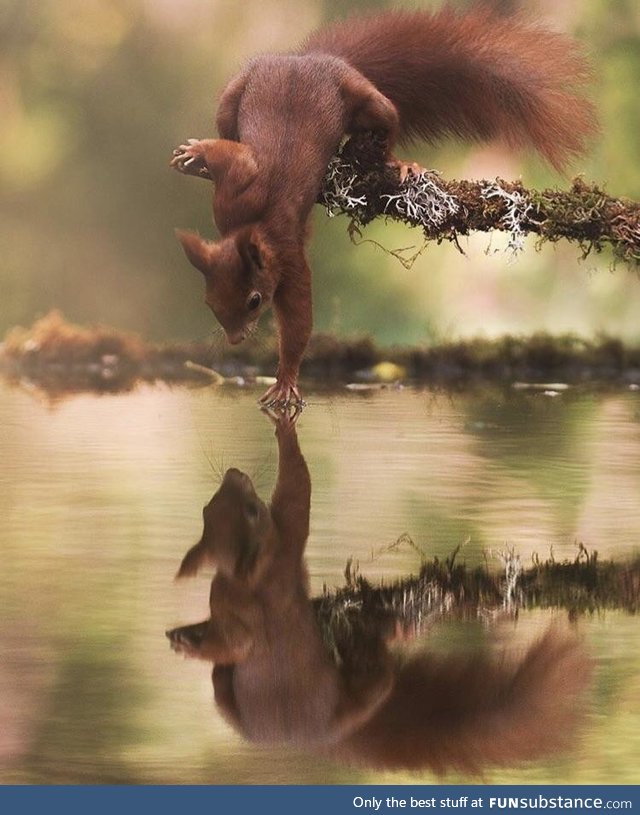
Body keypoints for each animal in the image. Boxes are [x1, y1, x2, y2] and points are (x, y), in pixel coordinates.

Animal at [166, 412, 592, 776]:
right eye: (252, 511)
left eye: (208, 508)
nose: (234, 473)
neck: (246, 579)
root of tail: (320, 742)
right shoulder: (286, 546)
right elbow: (297, 492)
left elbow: (233, 642)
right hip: (351, 695)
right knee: (376, 676)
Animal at [170, 4, 596, 404]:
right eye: (208, 301)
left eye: (255, 301)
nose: (235, 340)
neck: (252, 226)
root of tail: (312, 58)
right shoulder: (232, 199)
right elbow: (234, 157)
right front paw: (196, 152)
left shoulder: (288, 258)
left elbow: (298, 322)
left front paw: (286, 381)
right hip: (235, 92)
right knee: (228, 122)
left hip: (364, 98)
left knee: (386, 122)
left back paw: (399, 163)